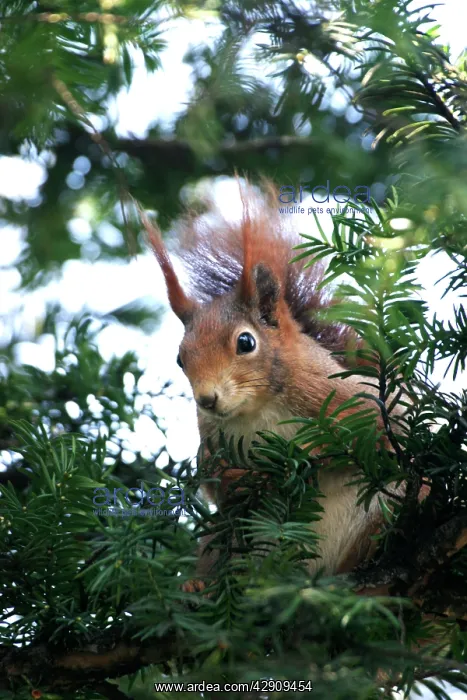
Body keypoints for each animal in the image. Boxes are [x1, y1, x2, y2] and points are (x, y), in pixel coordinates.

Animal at [141, 182, 402, 576]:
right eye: (179, 358)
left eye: (246, 342)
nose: (207, 399)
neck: (258, 410)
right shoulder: (211, 439)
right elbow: (215, 483)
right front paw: (240, 477)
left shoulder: (340, 393)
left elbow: (381, 430)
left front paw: (301, 454)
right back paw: (197, 584)